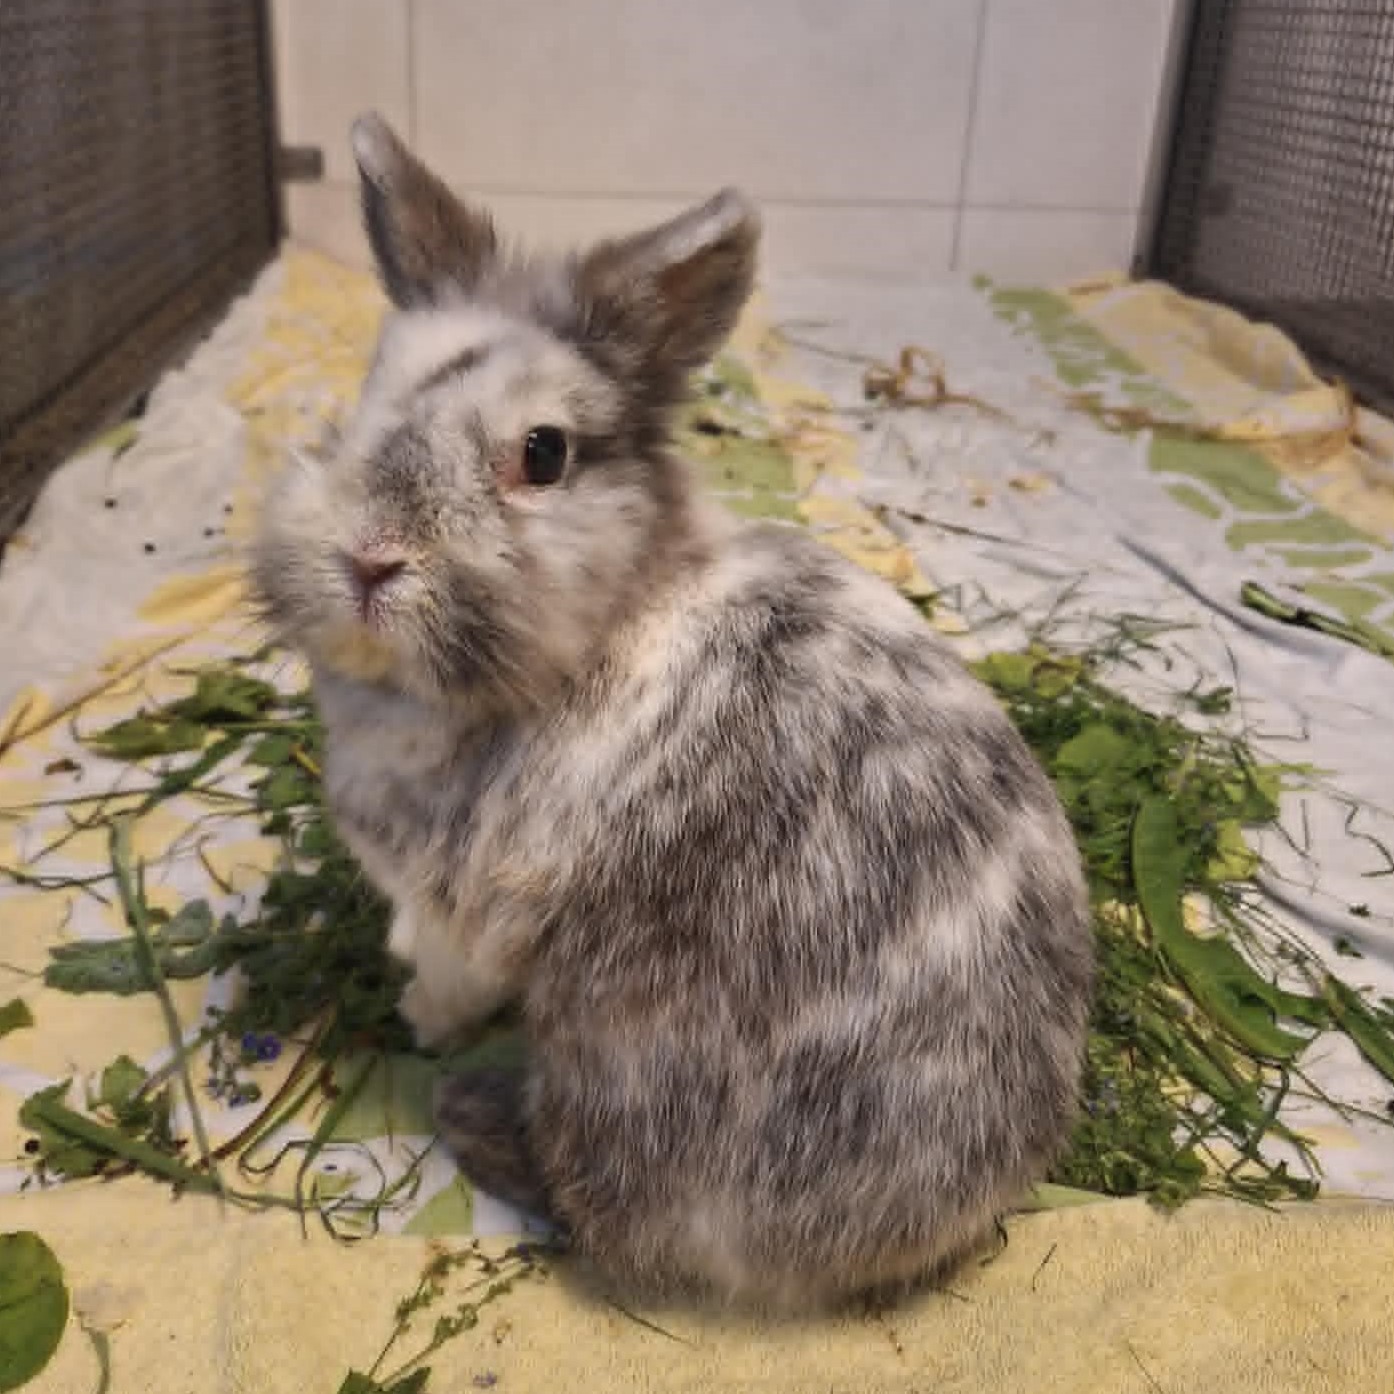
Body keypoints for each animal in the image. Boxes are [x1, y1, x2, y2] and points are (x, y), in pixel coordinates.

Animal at [251, 111, 1095, 1313]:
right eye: (366, 398)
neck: (604, 615)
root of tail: (929, 1217)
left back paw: (469, 1108)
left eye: (542, 454)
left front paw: (419, 1017)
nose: (367, 557)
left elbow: (445, 971)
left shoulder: (461, 907)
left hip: (607, 1072)